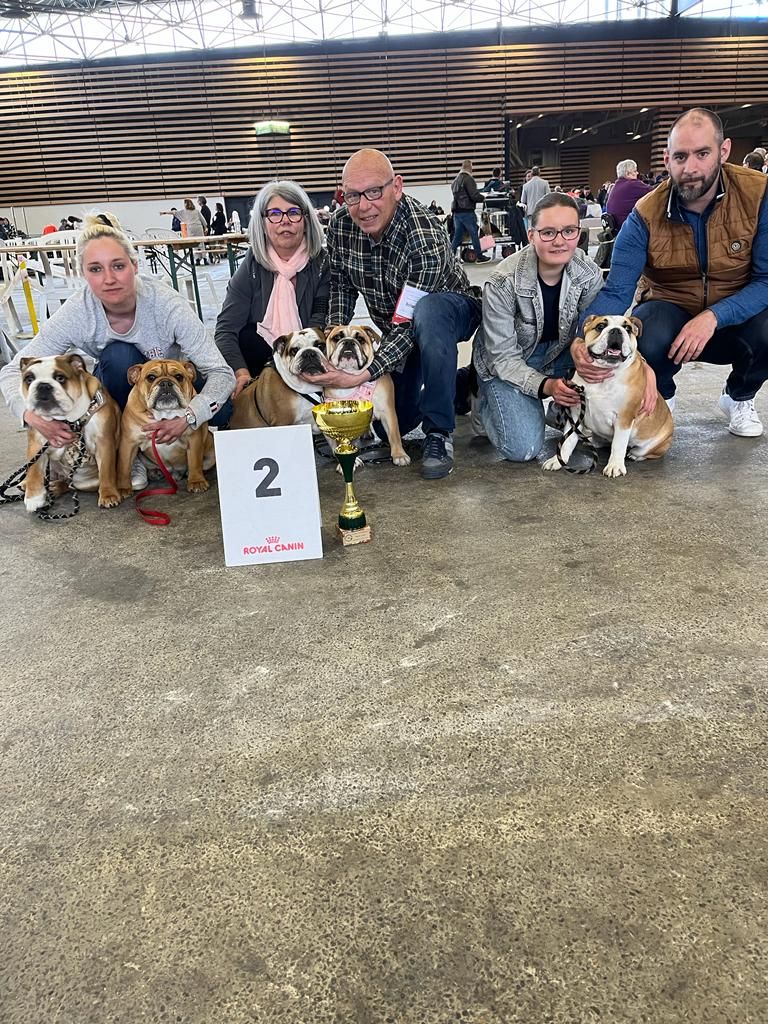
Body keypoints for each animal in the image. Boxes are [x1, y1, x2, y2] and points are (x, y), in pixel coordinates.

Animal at [19, 356, 120, 512]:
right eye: (29, 379)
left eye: (60, 378)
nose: (43, 386)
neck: (70, 419)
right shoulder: (37, 444)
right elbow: (34, 470)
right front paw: (33, 498)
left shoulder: (104, 443)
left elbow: (106, 471)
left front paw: (109, 495)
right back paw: (28, 484)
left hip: (86, 482)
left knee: (71, 485)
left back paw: (55, 488)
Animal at [119, 362, 217, 497]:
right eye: (151, 377)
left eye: (179, 377)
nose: (165, 383)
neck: (164, 415)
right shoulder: (128, 443)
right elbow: (124, 467)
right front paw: (123, 488)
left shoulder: (194, 439)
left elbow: (195, 461)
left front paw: (197, 481)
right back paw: (155, 472)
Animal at [323, 325, 411, 466]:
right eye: (337, 337)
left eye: (360, 339)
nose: (348, 342)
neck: (351, 374)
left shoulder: (387, 411)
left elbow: (394, 434)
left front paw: (399, 455)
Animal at [540, 313, 671, 477]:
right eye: (600, 326)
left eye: (628, 329)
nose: (616, 330)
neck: (604, 373)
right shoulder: (575, 414)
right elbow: (567, 441)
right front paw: (558, 460)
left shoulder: (624, 418)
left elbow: (618, 444)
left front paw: (615, 466)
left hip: (653, 444)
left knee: (641, 451)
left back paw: (634, 455)